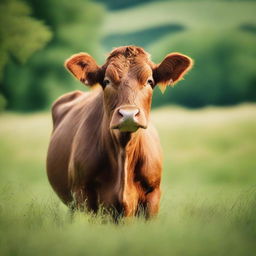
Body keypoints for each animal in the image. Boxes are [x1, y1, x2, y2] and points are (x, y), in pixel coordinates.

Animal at [46, 45, 192, 218]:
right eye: (106, 81)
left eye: (149, 81)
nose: (129, 114)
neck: (124, 151)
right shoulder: (83, 194)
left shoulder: (153, 196)